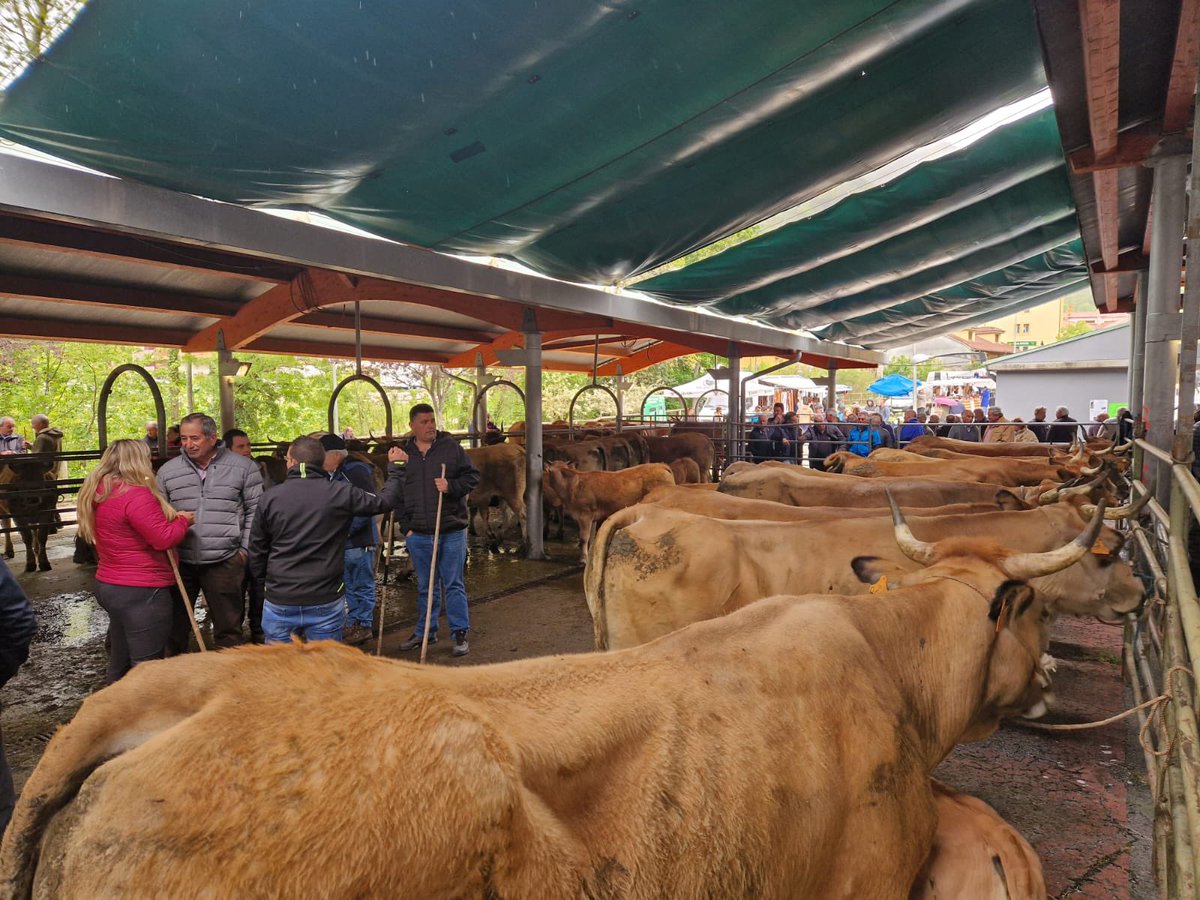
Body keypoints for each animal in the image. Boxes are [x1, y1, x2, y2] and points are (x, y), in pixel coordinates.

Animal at [544, 460, 676, 561]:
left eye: (549, 471)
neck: (573, 485)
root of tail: (660, 465)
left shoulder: (584, 515)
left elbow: (584, 537)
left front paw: (583, 559)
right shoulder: (592, 516)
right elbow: (592, 536)